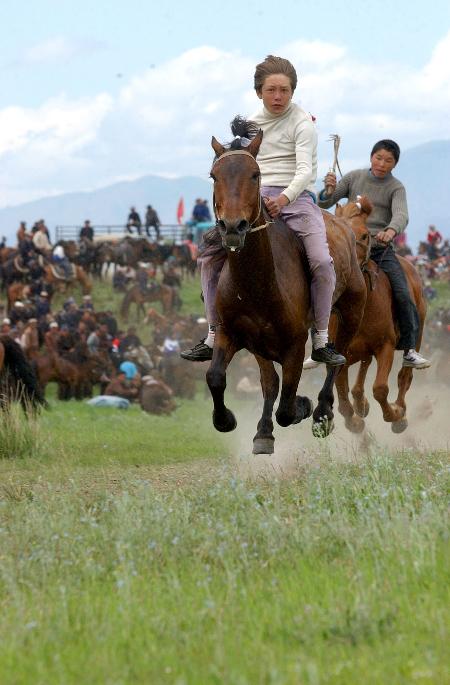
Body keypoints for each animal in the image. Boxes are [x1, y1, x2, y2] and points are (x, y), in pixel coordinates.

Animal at [206, 125, 368, 452]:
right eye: (214, 176)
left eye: (255, 174)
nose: (233, 227)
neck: (257, 284)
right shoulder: (237, 335)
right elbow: (220, 377)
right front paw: (236, 423)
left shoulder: (294, 346)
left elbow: (287, 406)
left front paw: (303, 406)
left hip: (351, 312)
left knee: (337, 361)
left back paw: (322, 412)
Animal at [332, 198, 428, 432]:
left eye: (365, 235)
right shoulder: (341, 353)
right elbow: (342, 398)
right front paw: (355, 419)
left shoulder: (385, 346)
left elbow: (381, 388)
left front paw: (395, 415)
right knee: (361, 373)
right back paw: (361, 404)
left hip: (417, 332)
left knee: (405, 376)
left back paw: (399, 413)